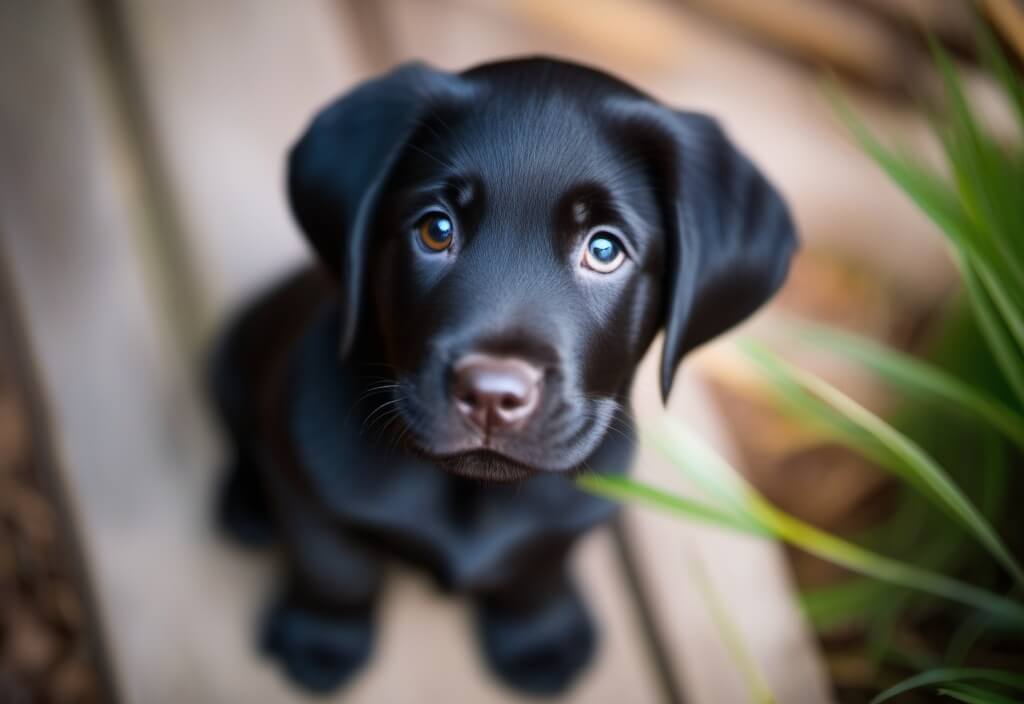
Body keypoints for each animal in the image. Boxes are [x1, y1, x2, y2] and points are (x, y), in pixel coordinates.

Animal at [209, 57, 798, 695]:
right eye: (436, 229)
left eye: (604, 250)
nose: (491, 396)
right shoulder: (306, 481)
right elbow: (335, 568)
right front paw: (322, 640)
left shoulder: (580, 503)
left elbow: (540, 566)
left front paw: (539, 638)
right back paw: (247, 504)